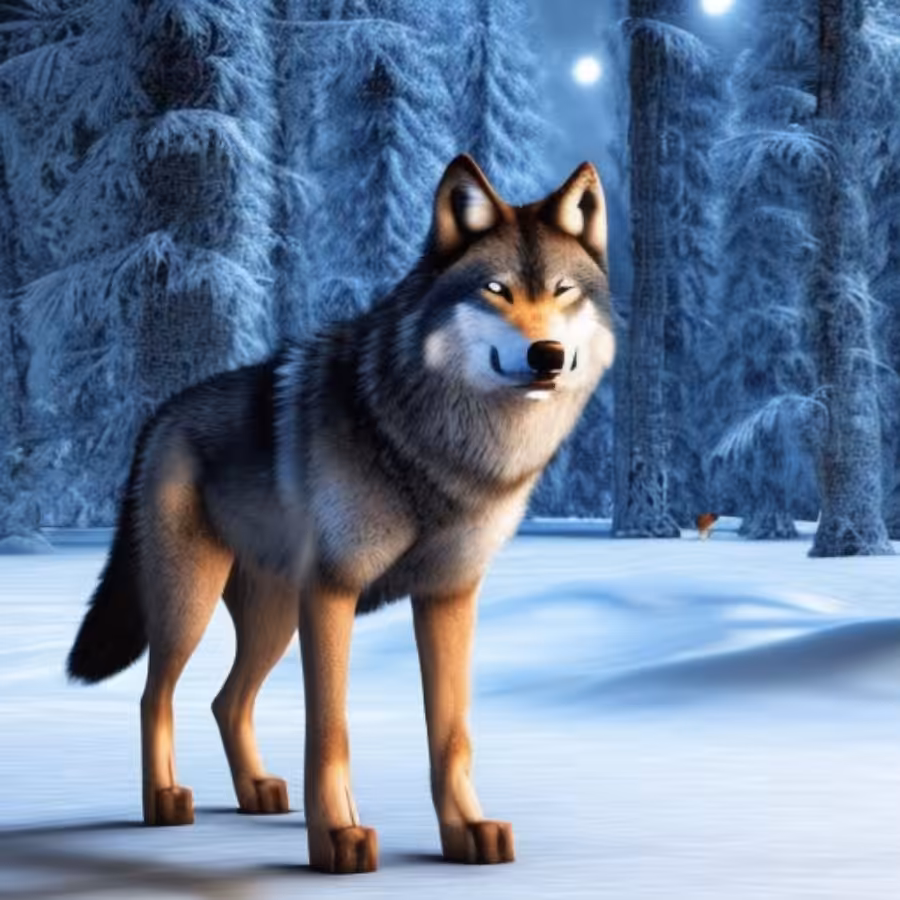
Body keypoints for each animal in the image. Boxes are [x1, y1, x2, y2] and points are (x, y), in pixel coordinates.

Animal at [67, 155, 616, 874]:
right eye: (496, 289)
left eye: (563, 291)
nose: (546, 355)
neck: (430, 452)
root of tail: (160, 416)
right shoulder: (332, 593)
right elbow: (330, 731)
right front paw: (337, 840)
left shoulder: (449, 596)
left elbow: (452, 734)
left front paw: (466, 831)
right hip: (194, 601)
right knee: (154, 695)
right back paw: (164, 801)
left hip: (273, 618)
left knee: (225, 699)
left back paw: (257, 793)